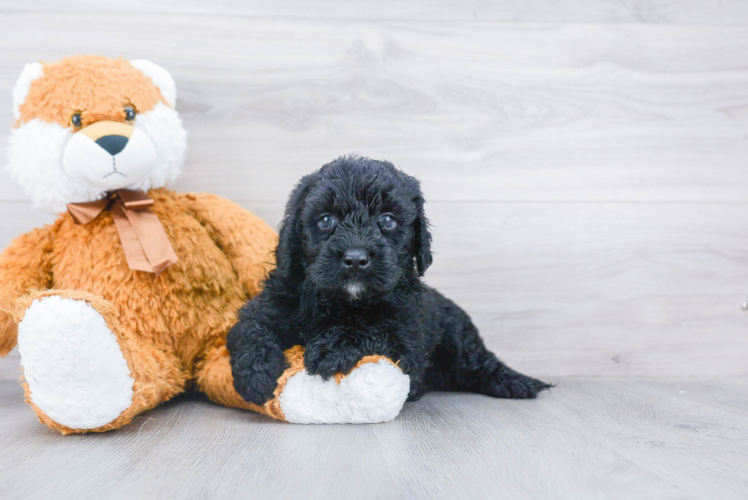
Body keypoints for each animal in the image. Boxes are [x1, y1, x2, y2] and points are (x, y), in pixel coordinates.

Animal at [228, 156, 548, 406]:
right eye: (326, 220)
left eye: (388, 220)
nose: (356, 259)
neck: (343, 302)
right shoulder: (273, 302)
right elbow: (251, 328)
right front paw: (257, 374)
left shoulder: (406, 338)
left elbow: (373, 329)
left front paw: (332, 349)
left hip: (459, 338)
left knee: (481, 364)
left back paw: (518, 383)